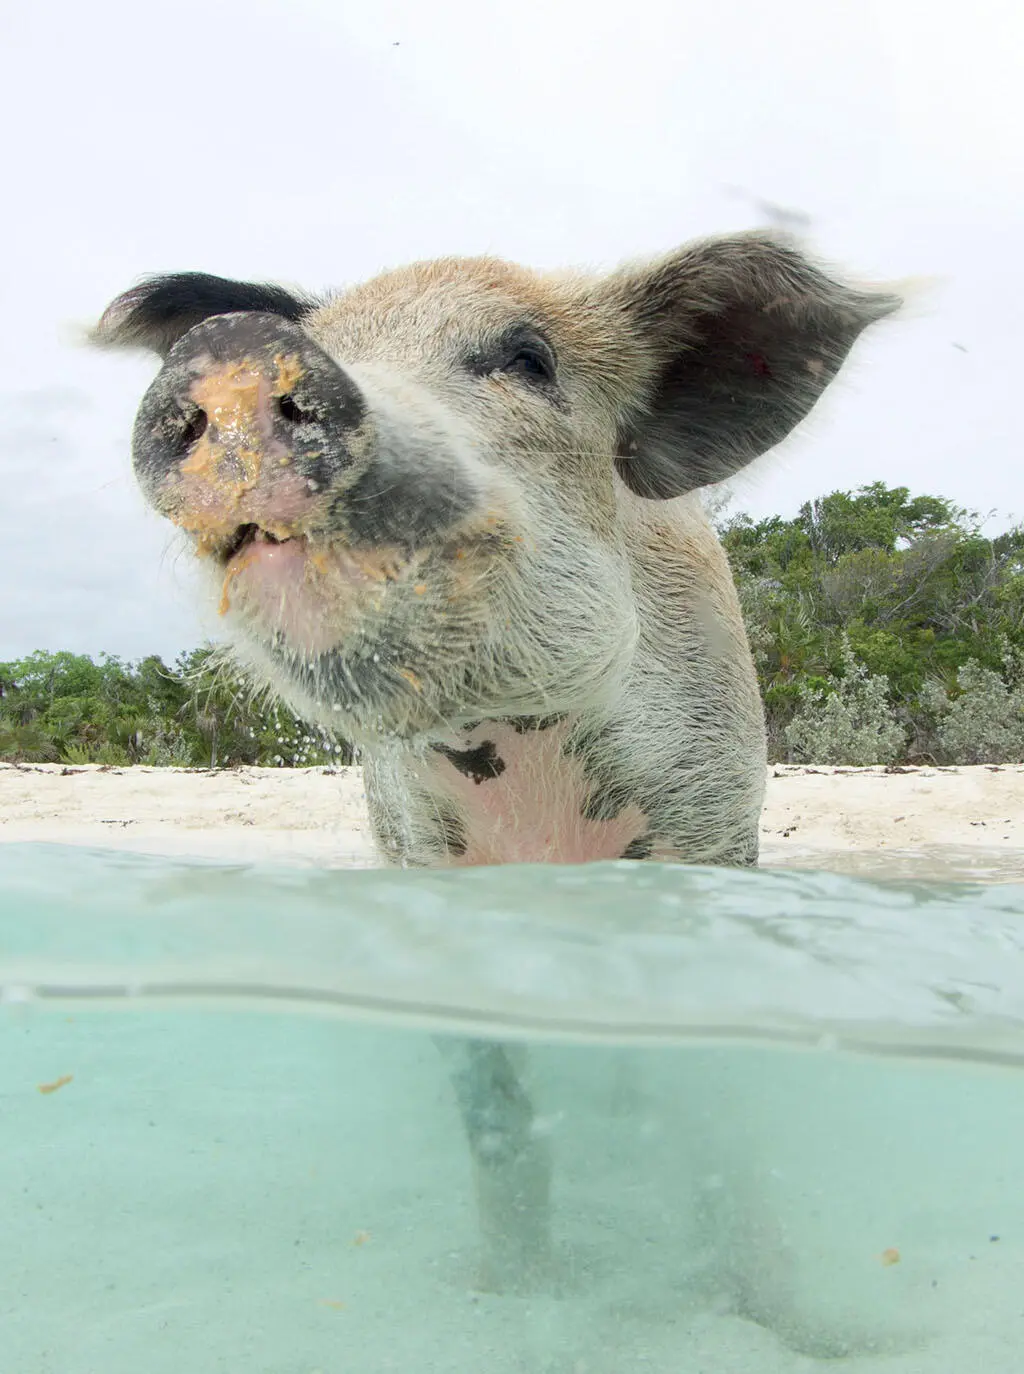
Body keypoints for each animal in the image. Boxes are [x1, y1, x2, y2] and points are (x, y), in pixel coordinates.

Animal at [94, 230, 896, 1291]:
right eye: (334, 337)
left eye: (527, 359)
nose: (236, 350)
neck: (524, 758)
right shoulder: (427, 863)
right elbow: (495, 1114)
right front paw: (508, 1290)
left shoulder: (714, 830)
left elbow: (715, 1099)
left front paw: (777, 1308)